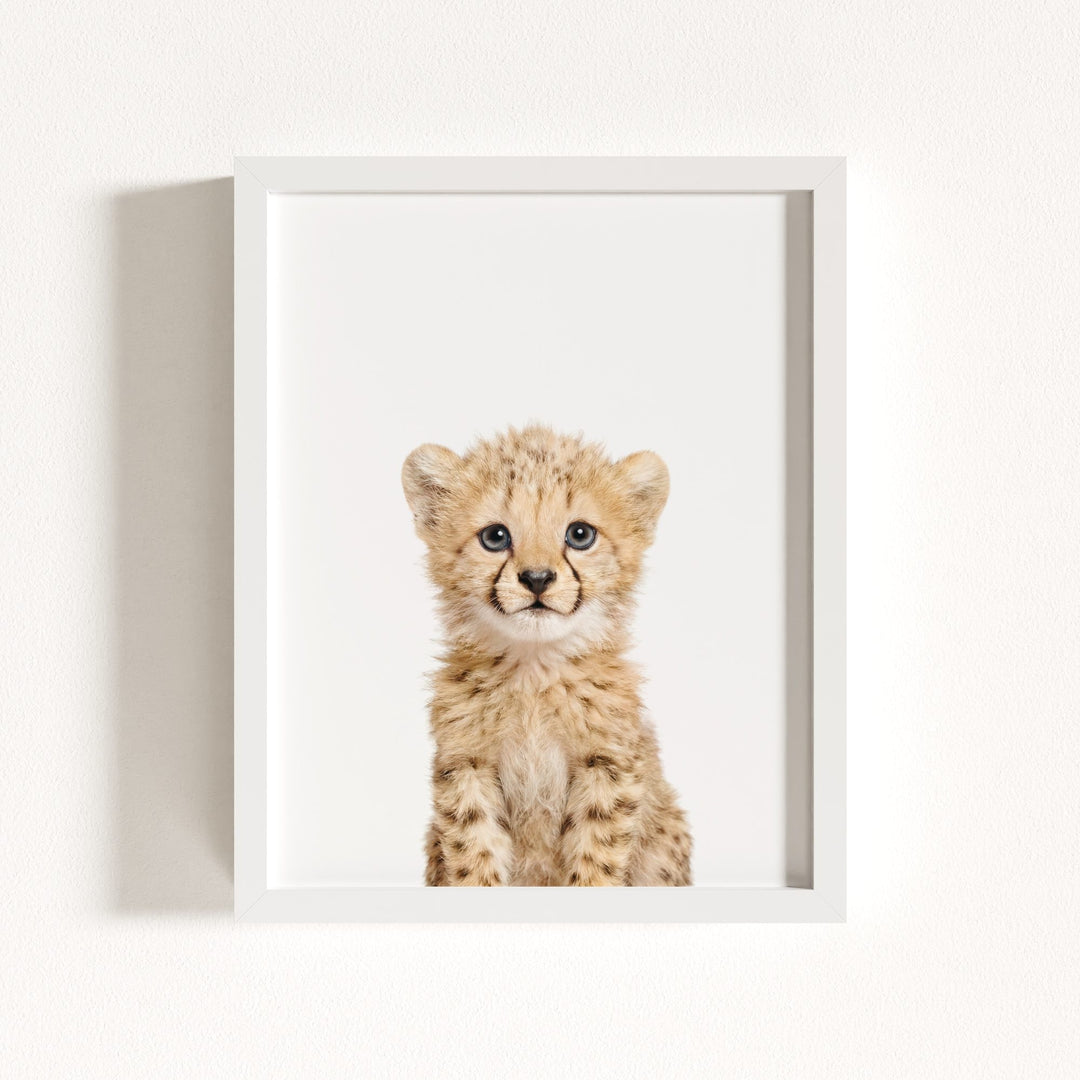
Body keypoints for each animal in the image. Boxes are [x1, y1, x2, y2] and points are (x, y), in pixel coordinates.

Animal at [402, 423, 692, 886]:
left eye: (580, 535)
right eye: (495, 537)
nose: (537, 578)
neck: (533, 670)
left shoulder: (607, 765)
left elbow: (596, 855)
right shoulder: (467, 765)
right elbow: (473, 851)